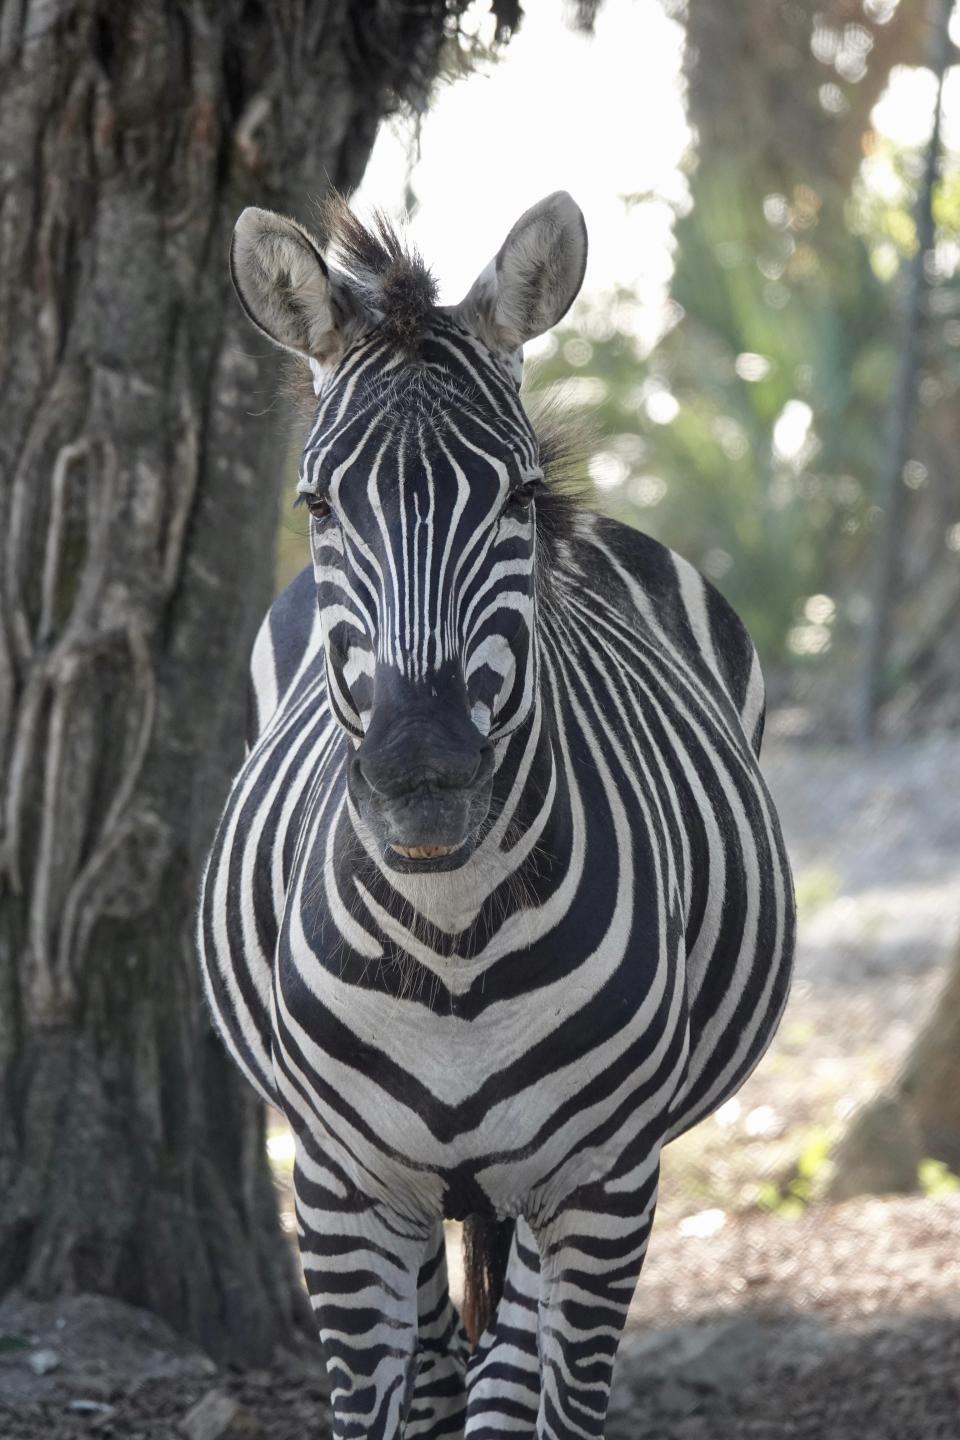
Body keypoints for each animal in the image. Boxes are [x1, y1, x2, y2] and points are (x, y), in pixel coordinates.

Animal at [197, 194, 794, 1440]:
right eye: (316, 504)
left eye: (516, 498)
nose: (422, 776)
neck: (451, 935)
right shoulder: (339, 1190)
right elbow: (383, 1405)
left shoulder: (604, 1184)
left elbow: (549, 1404)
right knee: (438, 1368)